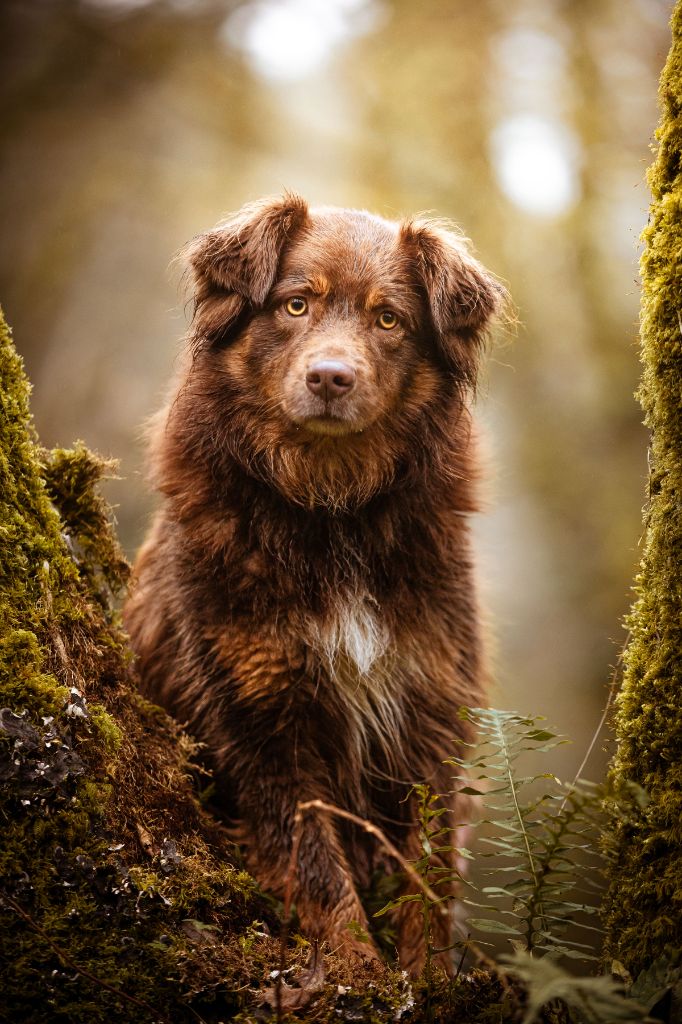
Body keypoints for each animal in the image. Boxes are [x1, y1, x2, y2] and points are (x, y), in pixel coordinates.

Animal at [123, 193, 503, 974]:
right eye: (296, 304)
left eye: (388, 319)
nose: (331, 376)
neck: (330, 511)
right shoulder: (260, 719)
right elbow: (316, 867)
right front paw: (360, 976)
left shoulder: (428, 708)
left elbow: (429, 872)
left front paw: (427, 978)